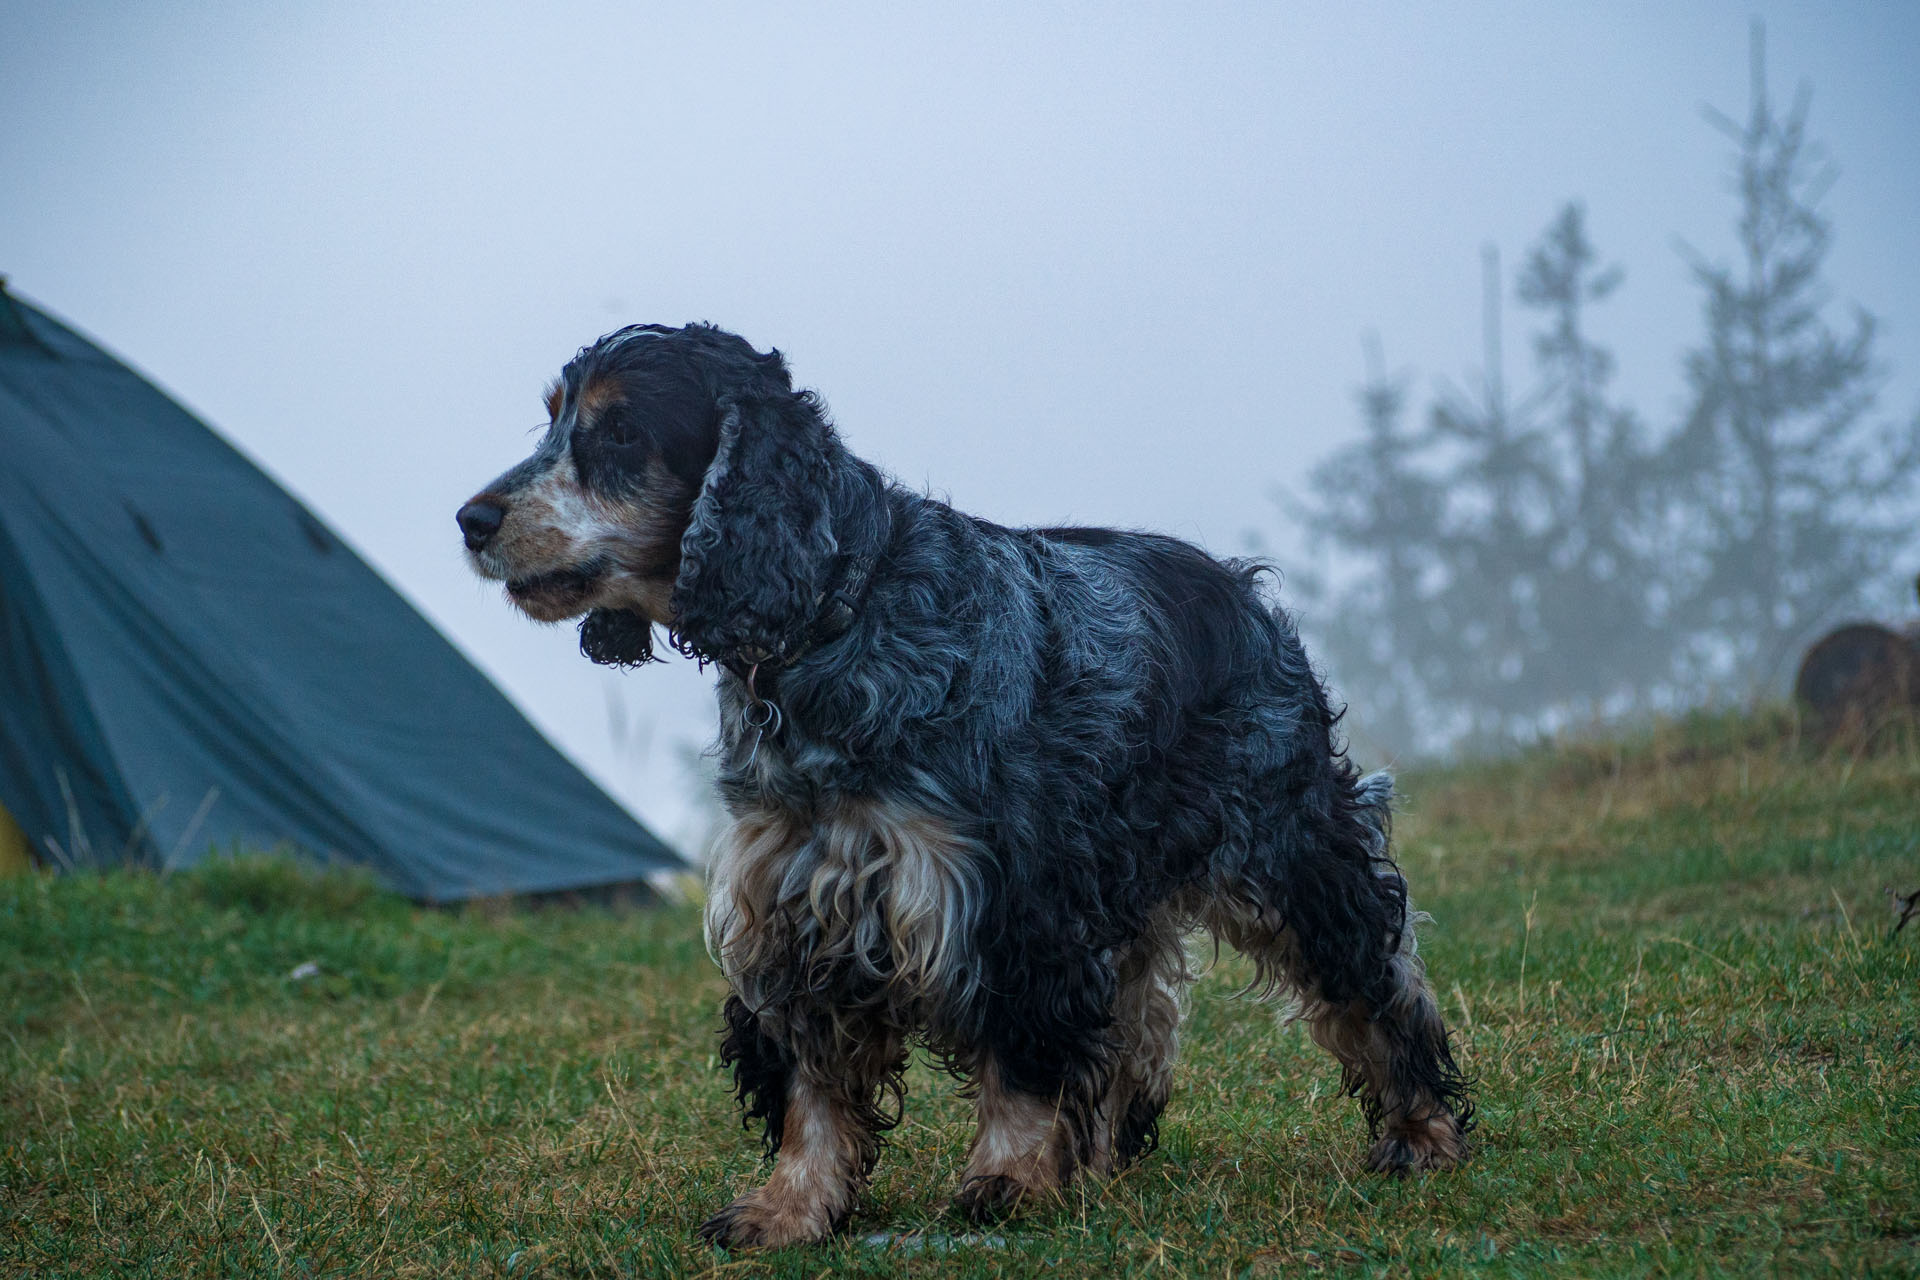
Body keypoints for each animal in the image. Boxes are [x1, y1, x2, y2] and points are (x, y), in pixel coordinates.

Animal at [456, 322, 1474, 1251]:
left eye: (623, 431)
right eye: (552, 420)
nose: (470, 519)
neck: (833, 625)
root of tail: (1240, 586)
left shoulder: (1007, 900)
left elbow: (1022, 1058)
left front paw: (1009, 1181)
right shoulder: (799, 911)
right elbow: (812, 1090)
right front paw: (789, 1209)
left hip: (1285, 845)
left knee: (1379, 983)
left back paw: (1424, 1135)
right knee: (1131, 1023)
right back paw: (1095, 1161)